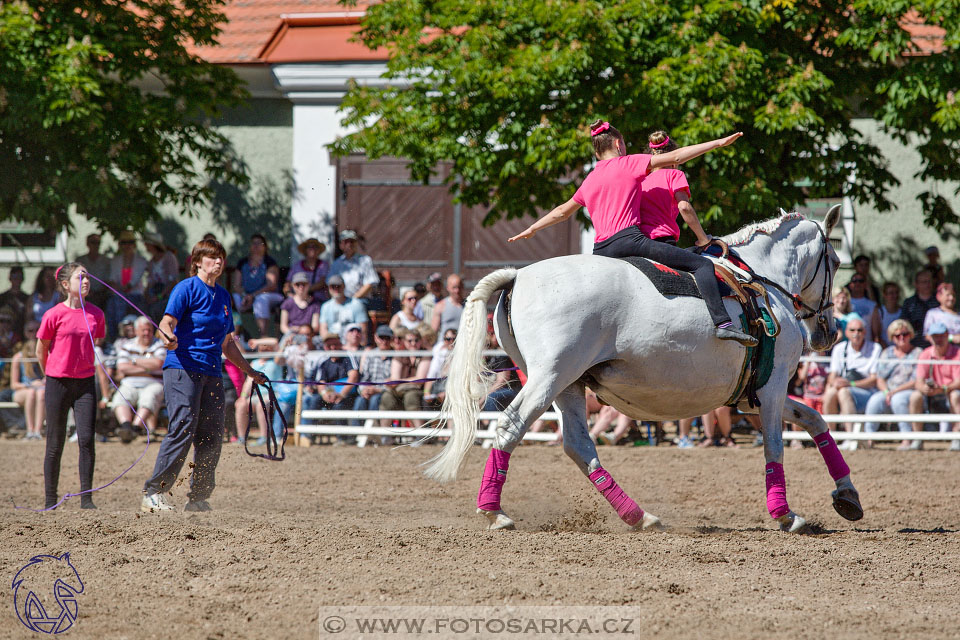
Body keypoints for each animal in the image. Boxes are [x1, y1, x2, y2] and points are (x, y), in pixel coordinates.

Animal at [424, 208, 860, 532]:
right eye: (836, 261)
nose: (828, 331)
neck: (761, 283)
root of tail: (518, 275)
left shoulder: (754, 396)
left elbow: (816, 420)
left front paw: (847, 496)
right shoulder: (770, 389)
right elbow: (775, 448)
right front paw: (786, 514)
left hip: (568, 385)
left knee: (578, 445)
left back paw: (638, 516)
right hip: (549, 379)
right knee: (510, 428)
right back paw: (494, 511)